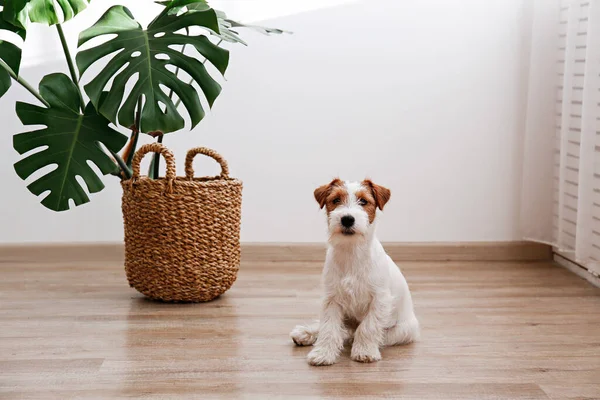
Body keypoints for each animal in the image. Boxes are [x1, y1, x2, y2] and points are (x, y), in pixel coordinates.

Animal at [290, 178, 418, 366]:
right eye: (336, 200)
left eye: (363, 201)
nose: (347, 219)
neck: (351, 251)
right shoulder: (332, 299)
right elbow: (328, 327)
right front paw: (323, 353)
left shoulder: (379, 299)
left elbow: (368, 327)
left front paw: (364, 351)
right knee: (334, 328)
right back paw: (305, 333)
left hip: (403, 331)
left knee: (357, 333)